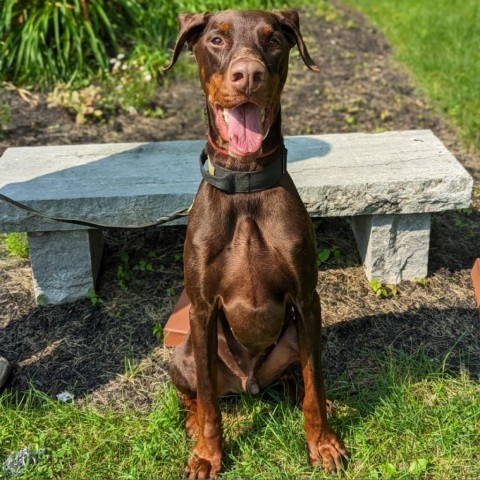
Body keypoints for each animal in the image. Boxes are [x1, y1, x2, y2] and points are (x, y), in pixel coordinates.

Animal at [164, 10, 344, 476]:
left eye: (274, 40)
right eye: (215, 39)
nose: (248, 75)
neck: (245, 185)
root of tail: (250, 384)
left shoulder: (307, 300)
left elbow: (315, 381)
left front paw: (322, 443)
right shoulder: (202, 309)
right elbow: (210, 402)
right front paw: (208, 455)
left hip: (295, 337)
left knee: (301, 379)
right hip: (183, 355)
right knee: (195, 394)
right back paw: (192, 422)